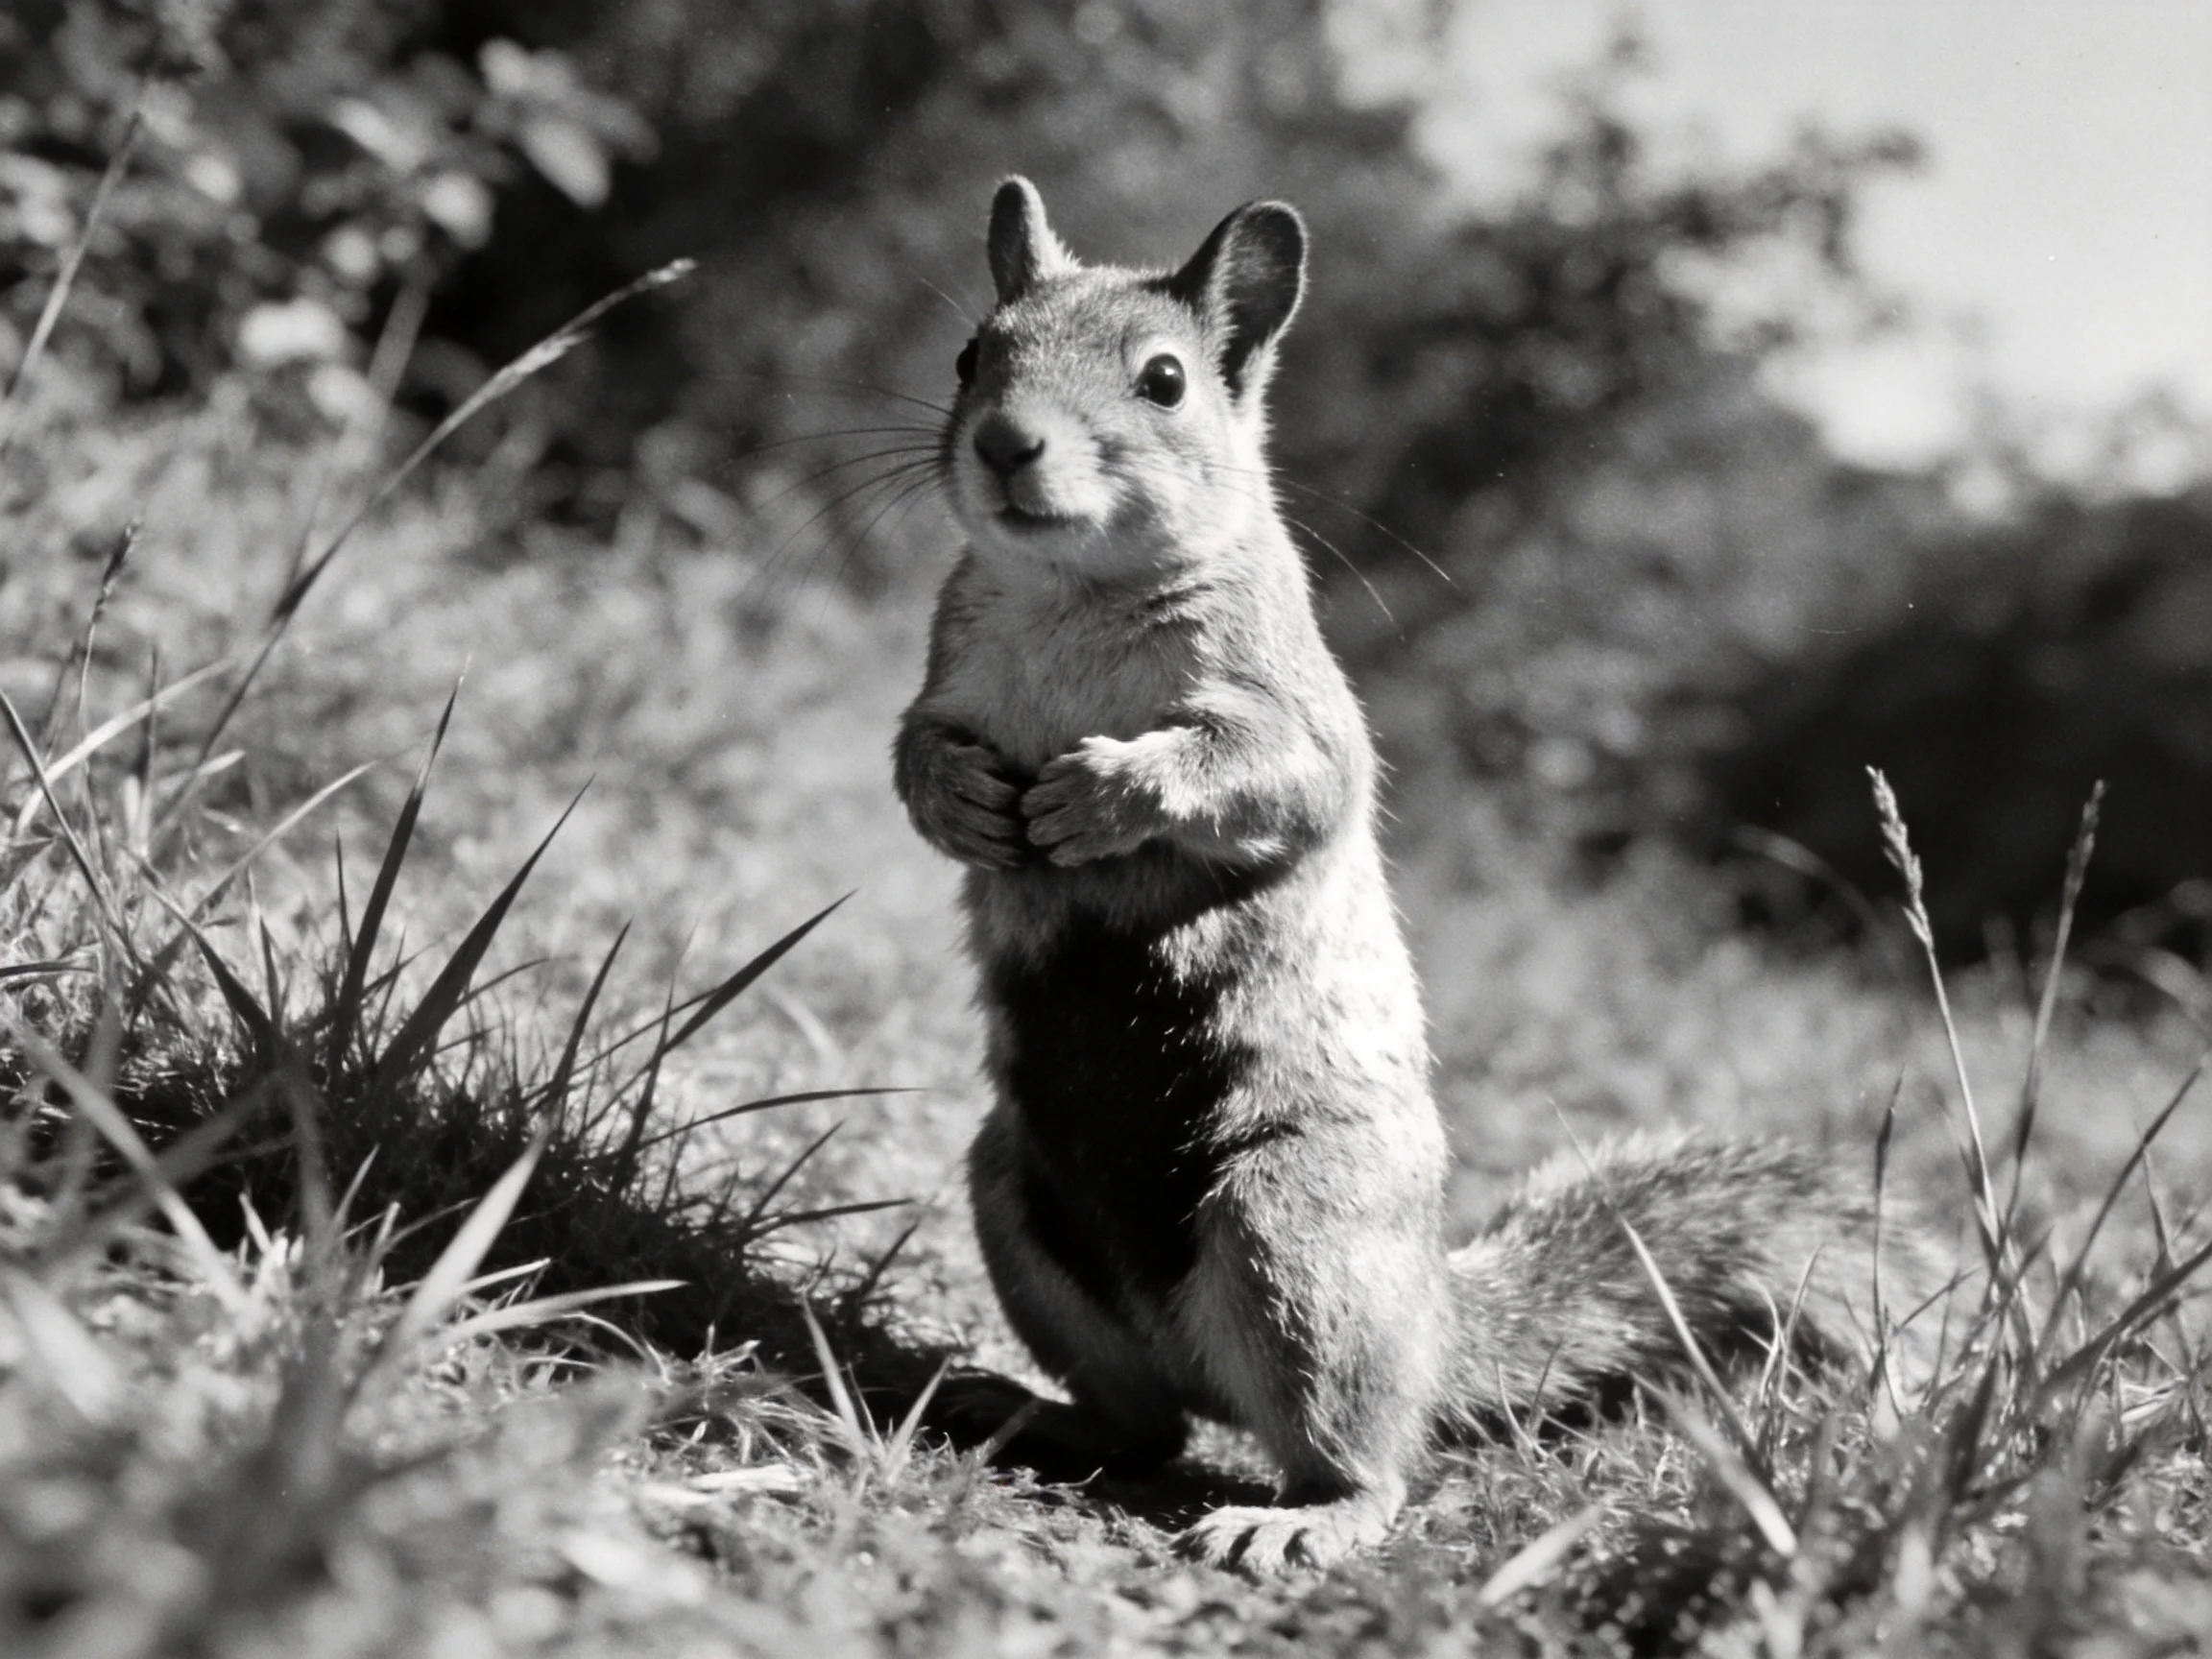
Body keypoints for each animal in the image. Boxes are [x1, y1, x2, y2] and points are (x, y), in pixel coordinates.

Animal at [893, 177, 1941, 1571]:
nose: (1009, 443)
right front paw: (962, 802)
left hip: (1295, 1238)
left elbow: (1279, 778)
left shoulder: (1297, 708)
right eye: (973, 355)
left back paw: (1303, 1519)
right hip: (1018, 1198)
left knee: (1361, 1457)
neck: (1073, 588)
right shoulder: (946, 674)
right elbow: (914, 752)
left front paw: (1103, 793)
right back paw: (1029, 1411)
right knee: (1143, 1423)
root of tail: (1437, 1330)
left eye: (1165, 381)